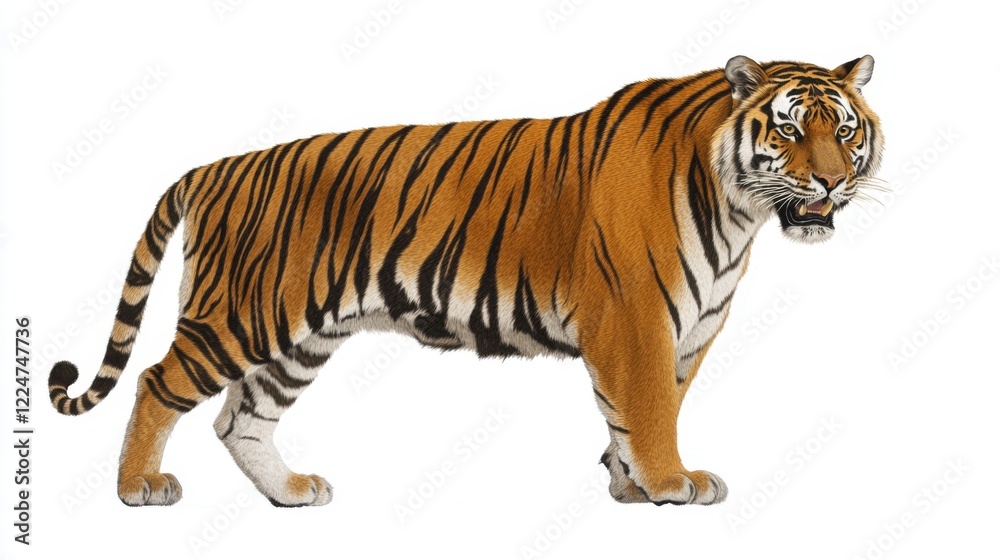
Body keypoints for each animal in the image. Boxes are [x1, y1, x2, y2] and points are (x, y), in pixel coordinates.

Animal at [48, 55, 883, 507]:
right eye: (788, 128)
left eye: (844, 131)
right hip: (242, 317)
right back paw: (138, 488)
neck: (738, 211)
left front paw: (631, 485)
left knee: (239, 419)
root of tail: (214, 167)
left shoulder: (690, 330)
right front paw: (672, 482)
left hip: (301, 338)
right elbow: (648, 408)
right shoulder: (637, 318)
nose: (831, 182)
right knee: (157, 382)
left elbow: (648, 409)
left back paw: (291, 493)